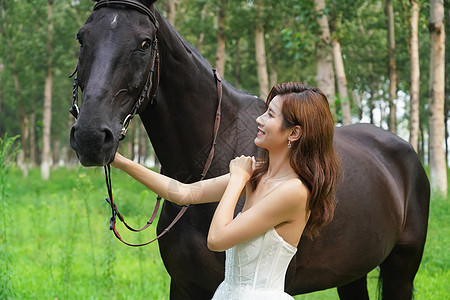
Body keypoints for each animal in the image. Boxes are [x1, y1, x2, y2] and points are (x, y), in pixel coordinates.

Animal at [68, 1, 430, 298]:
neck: (204, 160)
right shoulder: (184, 284)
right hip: (352, 274)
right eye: (82, 38)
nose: (91, 137)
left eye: (144, 43)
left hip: (401, 269)